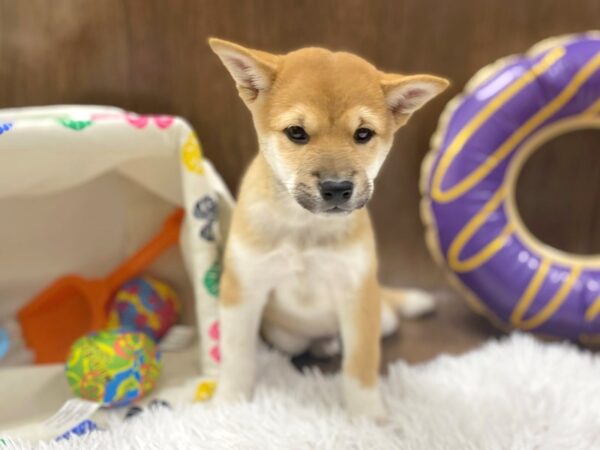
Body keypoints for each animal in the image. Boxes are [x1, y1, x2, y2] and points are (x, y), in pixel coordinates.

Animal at [209, 38, 448, 418]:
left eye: (363, 134)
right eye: (297, 132)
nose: (337, 188)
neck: (304, 228)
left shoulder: (357, 293)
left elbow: (361, 365)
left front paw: (368, 418)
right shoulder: (243, 288)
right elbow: (237, 357)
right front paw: (228, 404)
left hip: (380, 313)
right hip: (284, 335)